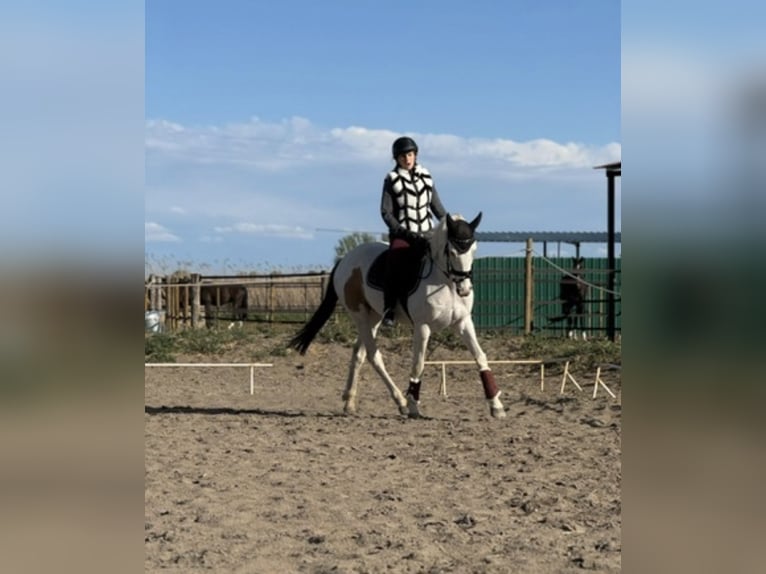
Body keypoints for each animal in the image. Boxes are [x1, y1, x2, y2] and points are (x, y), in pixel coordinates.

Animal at [288, 213, 506, 419]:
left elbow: (480, 357)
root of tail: (346, 259)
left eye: (474, 249)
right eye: (452, 252)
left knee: (358, 353)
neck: (444, 281)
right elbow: (418, 364)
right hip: (359, 315)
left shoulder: (463, 322)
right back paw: (400, 401)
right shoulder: (422, 326)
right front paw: (413, 405)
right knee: (373, 356)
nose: (465, 289)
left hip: (374, 317)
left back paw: (349, 402)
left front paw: (496, 406)